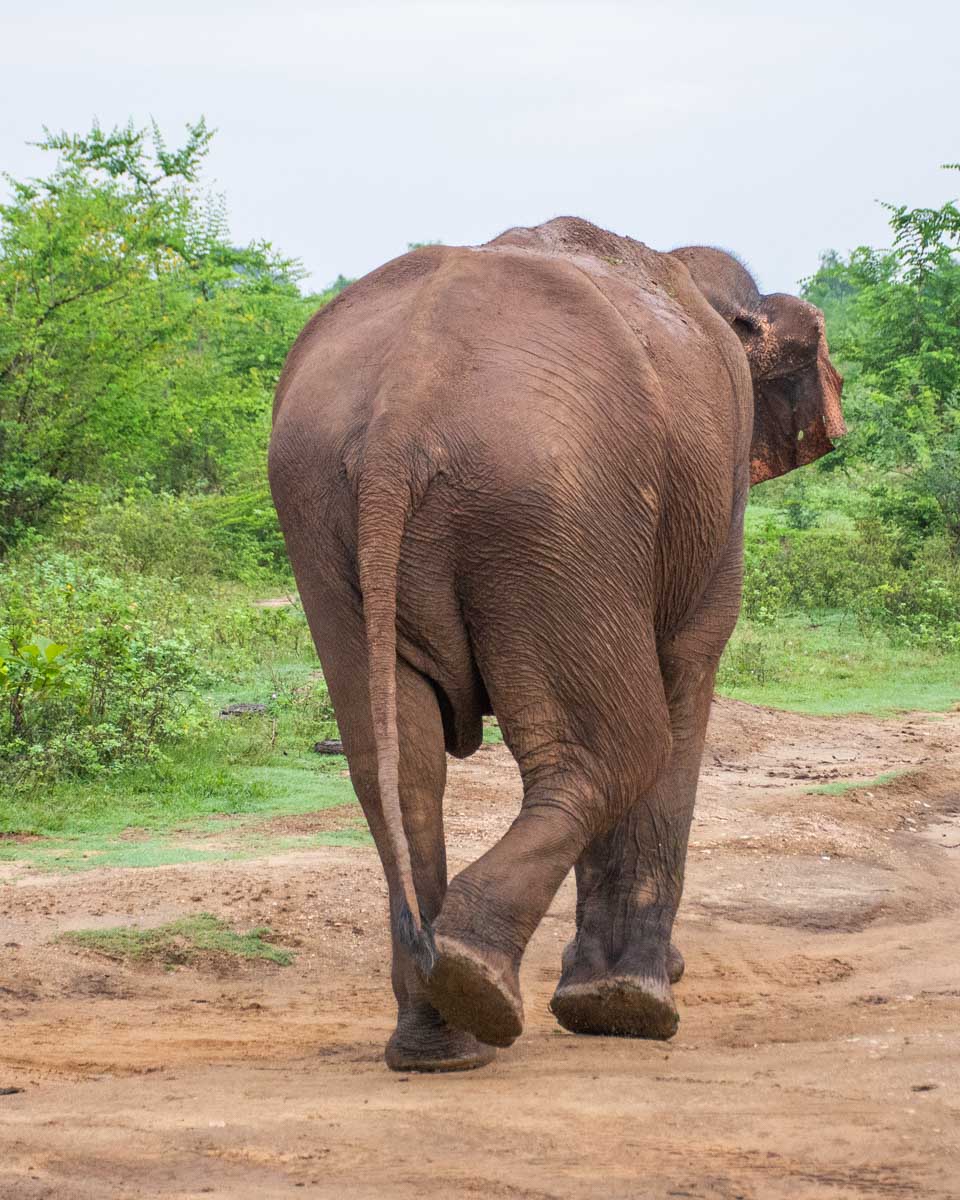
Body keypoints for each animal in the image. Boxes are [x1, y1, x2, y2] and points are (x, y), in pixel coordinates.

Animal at [268, 217, 845, 1072]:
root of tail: (403, 410)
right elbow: (687, 675)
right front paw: (630, 1007)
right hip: (553, 510)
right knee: (622, 745)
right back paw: (482, 987)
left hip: (327, 513)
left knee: (398, 771)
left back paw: (442, 1039)